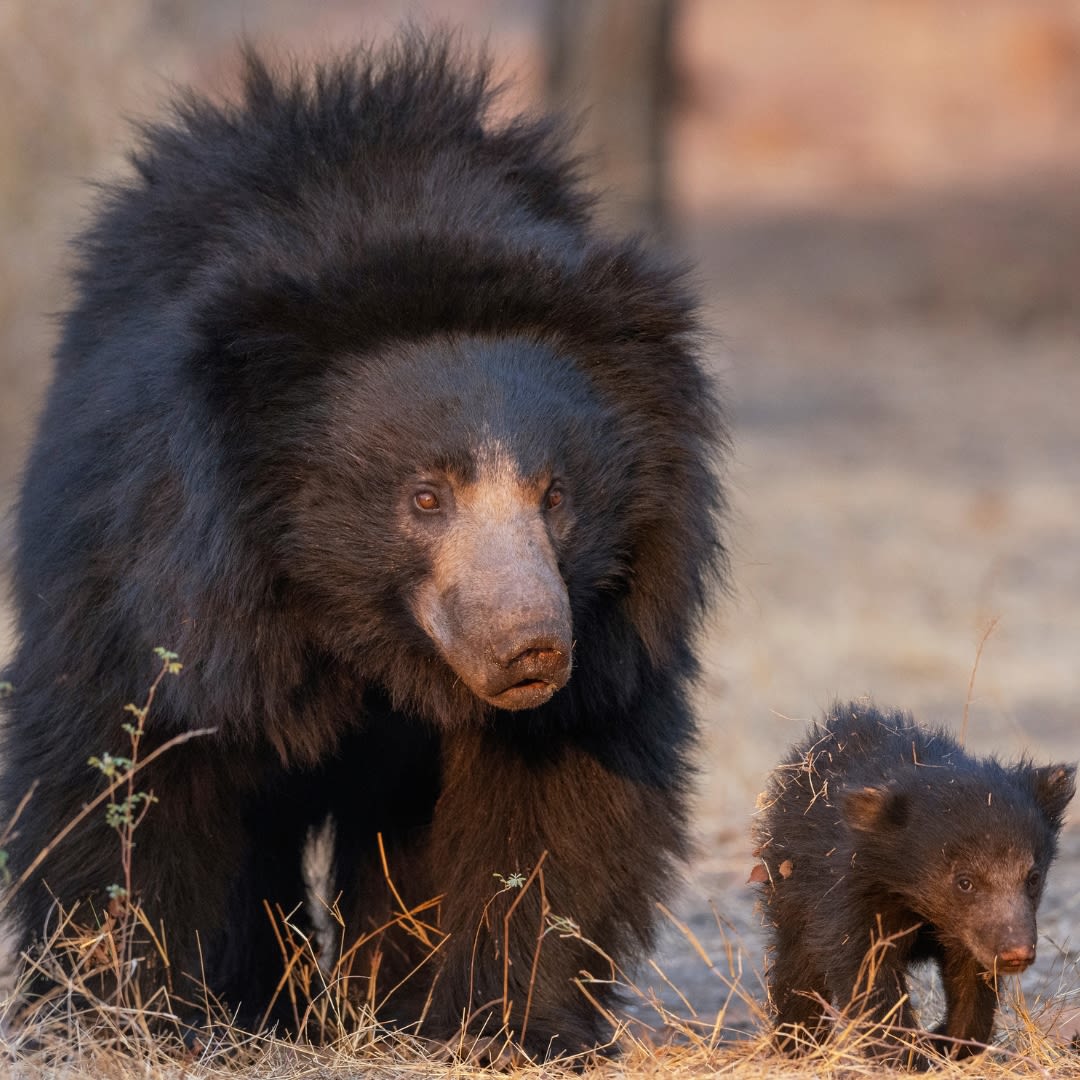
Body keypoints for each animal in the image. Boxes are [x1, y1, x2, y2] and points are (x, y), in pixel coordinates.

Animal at [0, 35, 727, 1059]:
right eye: (425, 497)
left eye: (555, 497)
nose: (532, 650)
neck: (365, 632)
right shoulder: (158, 581)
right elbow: (134, 770)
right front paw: (133, 1014)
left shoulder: (611, 648)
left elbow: (550, 810)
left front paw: (507, 1025)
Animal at [752, 700, 1076, 1065]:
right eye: (965, 882)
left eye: (1032, 878)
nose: (1015, 953)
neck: (914, 897)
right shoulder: (847, 890)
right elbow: (865, 968)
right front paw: (906, 1056)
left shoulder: (968, 931)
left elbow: (971, 980)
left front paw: (947, 1044)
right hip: (790, 885)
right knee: (797, 966)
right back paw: (796, 1046)